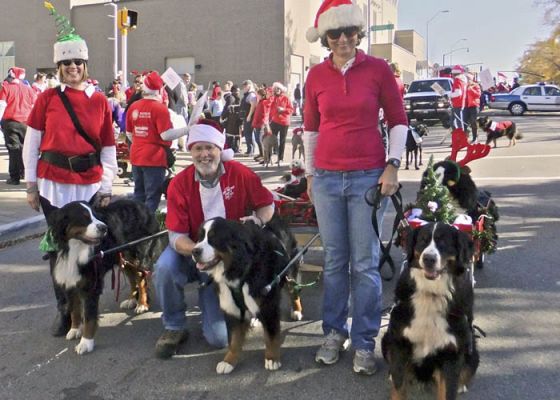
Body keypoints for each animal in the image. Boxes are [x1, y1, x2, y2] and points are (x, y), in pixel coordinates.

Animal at [48, 199, 164, 354]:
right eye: (84, 217)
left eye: (95, 215)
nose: (104, 228)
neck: (73, 250)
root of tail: (142, 206)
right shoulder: (69, 282)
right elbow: (74, 310)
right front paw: (74, 329)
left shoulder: (91, 285)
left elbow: (89, 318)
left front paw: (86, 343)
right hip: (123, 257)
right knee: (132, 277)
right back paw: (131, 300)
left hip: (137, 254)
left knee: (141, 278)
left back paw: (142, 304)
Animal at [191, 216, 302, 376]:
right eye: (200, 238)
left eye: (214, 239)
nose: (194, 251)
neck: (238, 269)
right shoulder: (231, 307)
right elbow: (234, 339)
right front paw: (229, 361)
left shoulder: (268, 304)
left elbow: (271, 335)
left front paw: (272, 358)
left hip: (290, 274)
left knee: (294, 292)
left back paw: (297, 311)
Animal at [380, 223, 482, 398]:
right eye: (422, 240)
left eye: (443, 242)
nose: (429, 258)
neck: (431, 294)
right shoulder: (400, 343)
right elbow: (399, 388)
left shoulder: (451, 353)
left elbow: (448, 391)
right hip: (387, 340)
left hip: (471, 350)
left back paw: (461, 385)